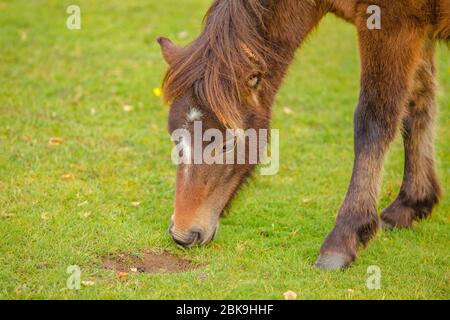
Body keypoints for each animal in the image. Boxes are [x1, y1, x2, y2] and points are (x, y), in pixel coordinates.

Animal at [156, 0, 448, 268]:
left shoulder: (393, 25)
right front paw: (412, 204)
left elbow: (374, 122)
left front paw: (343, 239)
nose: (183, 234)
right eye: (174, 137)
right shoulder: (419, 31)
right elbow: (418, 104)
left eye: (226, 144)